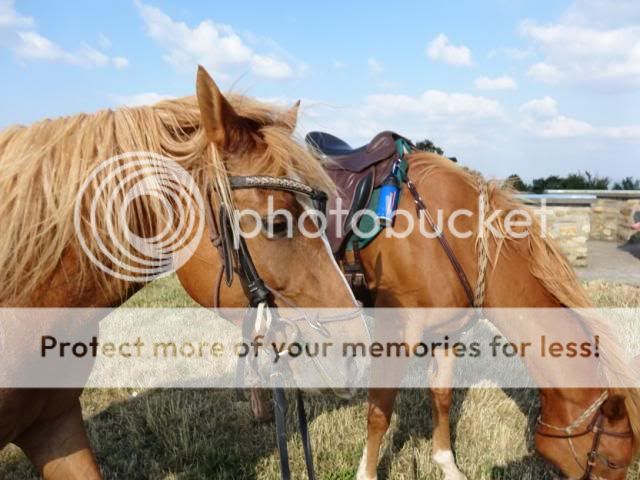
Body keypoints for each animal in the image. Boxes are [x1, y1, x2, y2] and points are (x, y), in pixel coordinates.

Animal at [320, 152, 640, 478]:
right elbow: (379, 413)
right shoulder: (394, 331)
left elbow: (442, 397)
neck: (454, 241)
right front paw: (367, 473)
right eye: (612, 460)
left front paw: (446, 464)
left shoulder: (448, 333)